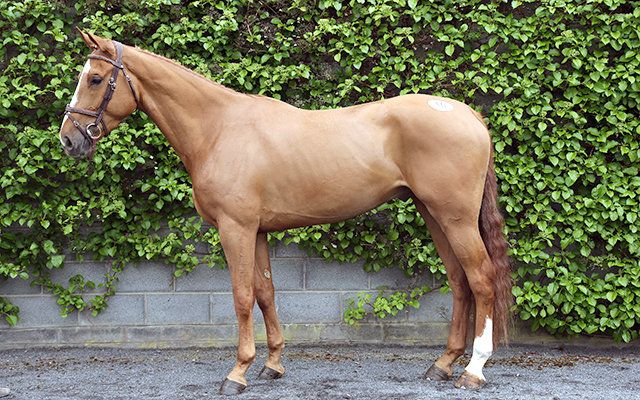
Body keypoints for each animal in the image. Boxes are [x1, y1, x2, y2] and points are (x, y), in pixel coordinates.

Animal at [59, 29, 512, 395]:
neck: (219, 128)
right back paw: (442, 365)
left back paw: (473, 371)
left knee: (481, 279)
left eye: (95, 79)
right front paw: (272, 365)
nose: (68, 140)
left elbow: (242, 296)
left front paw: (237, 373)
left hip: (455, 218)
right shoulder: (257, 230)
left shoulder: (235, 229)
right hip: (434, 215)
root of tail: (469, 114)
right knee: (459, 281)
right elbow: (265, 292)